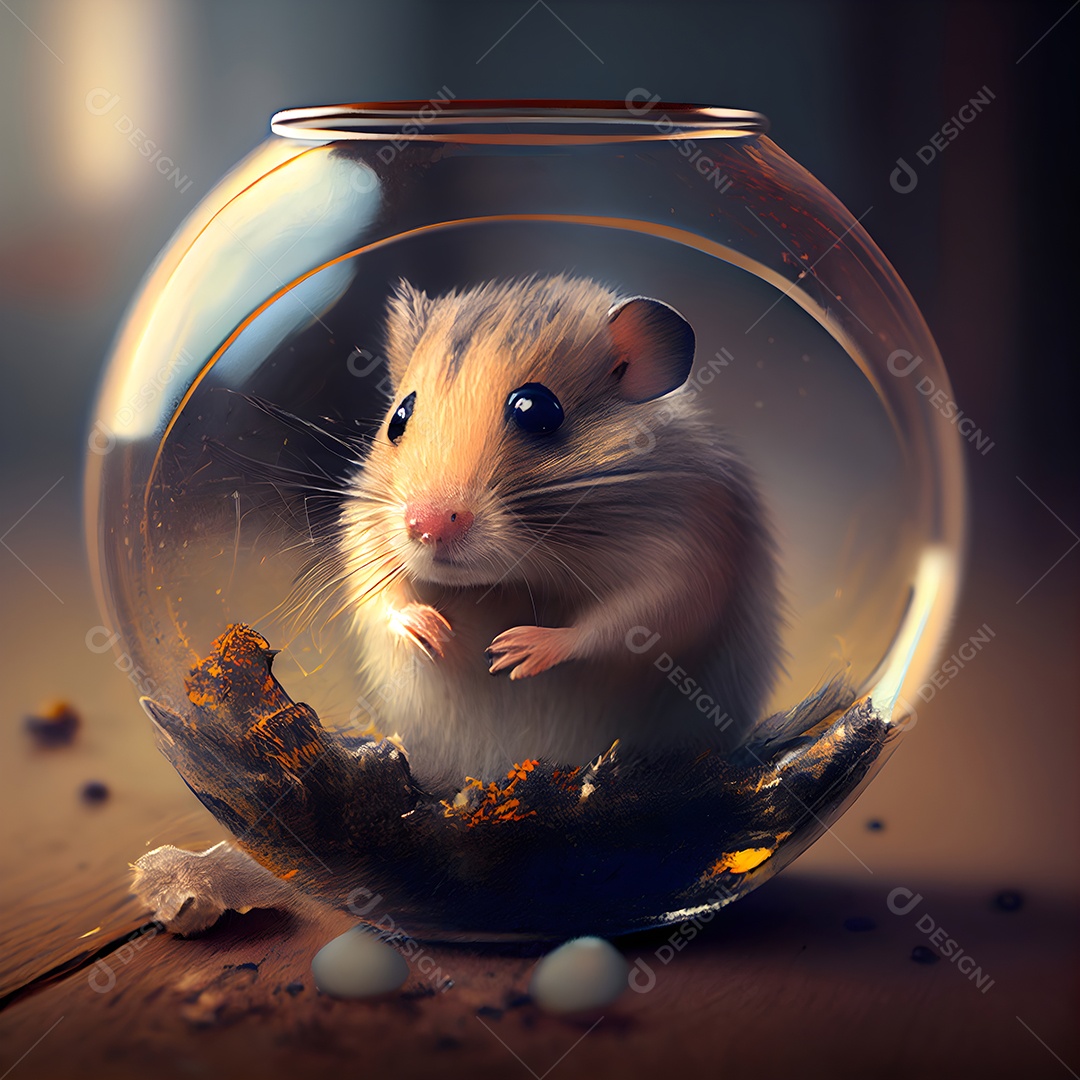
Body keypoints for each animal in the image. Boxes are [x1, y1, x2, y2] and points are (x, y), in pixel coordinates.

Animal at [335, 274, 782, 788]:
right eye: (398, 418)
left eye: (537, 411)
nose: (425, 526)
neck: (515, 578)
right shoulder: (365, 531)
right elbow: (379, 595)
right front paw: (431, 632)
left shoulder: (694, 551)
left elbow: (625, 621)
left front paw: (512, 652)